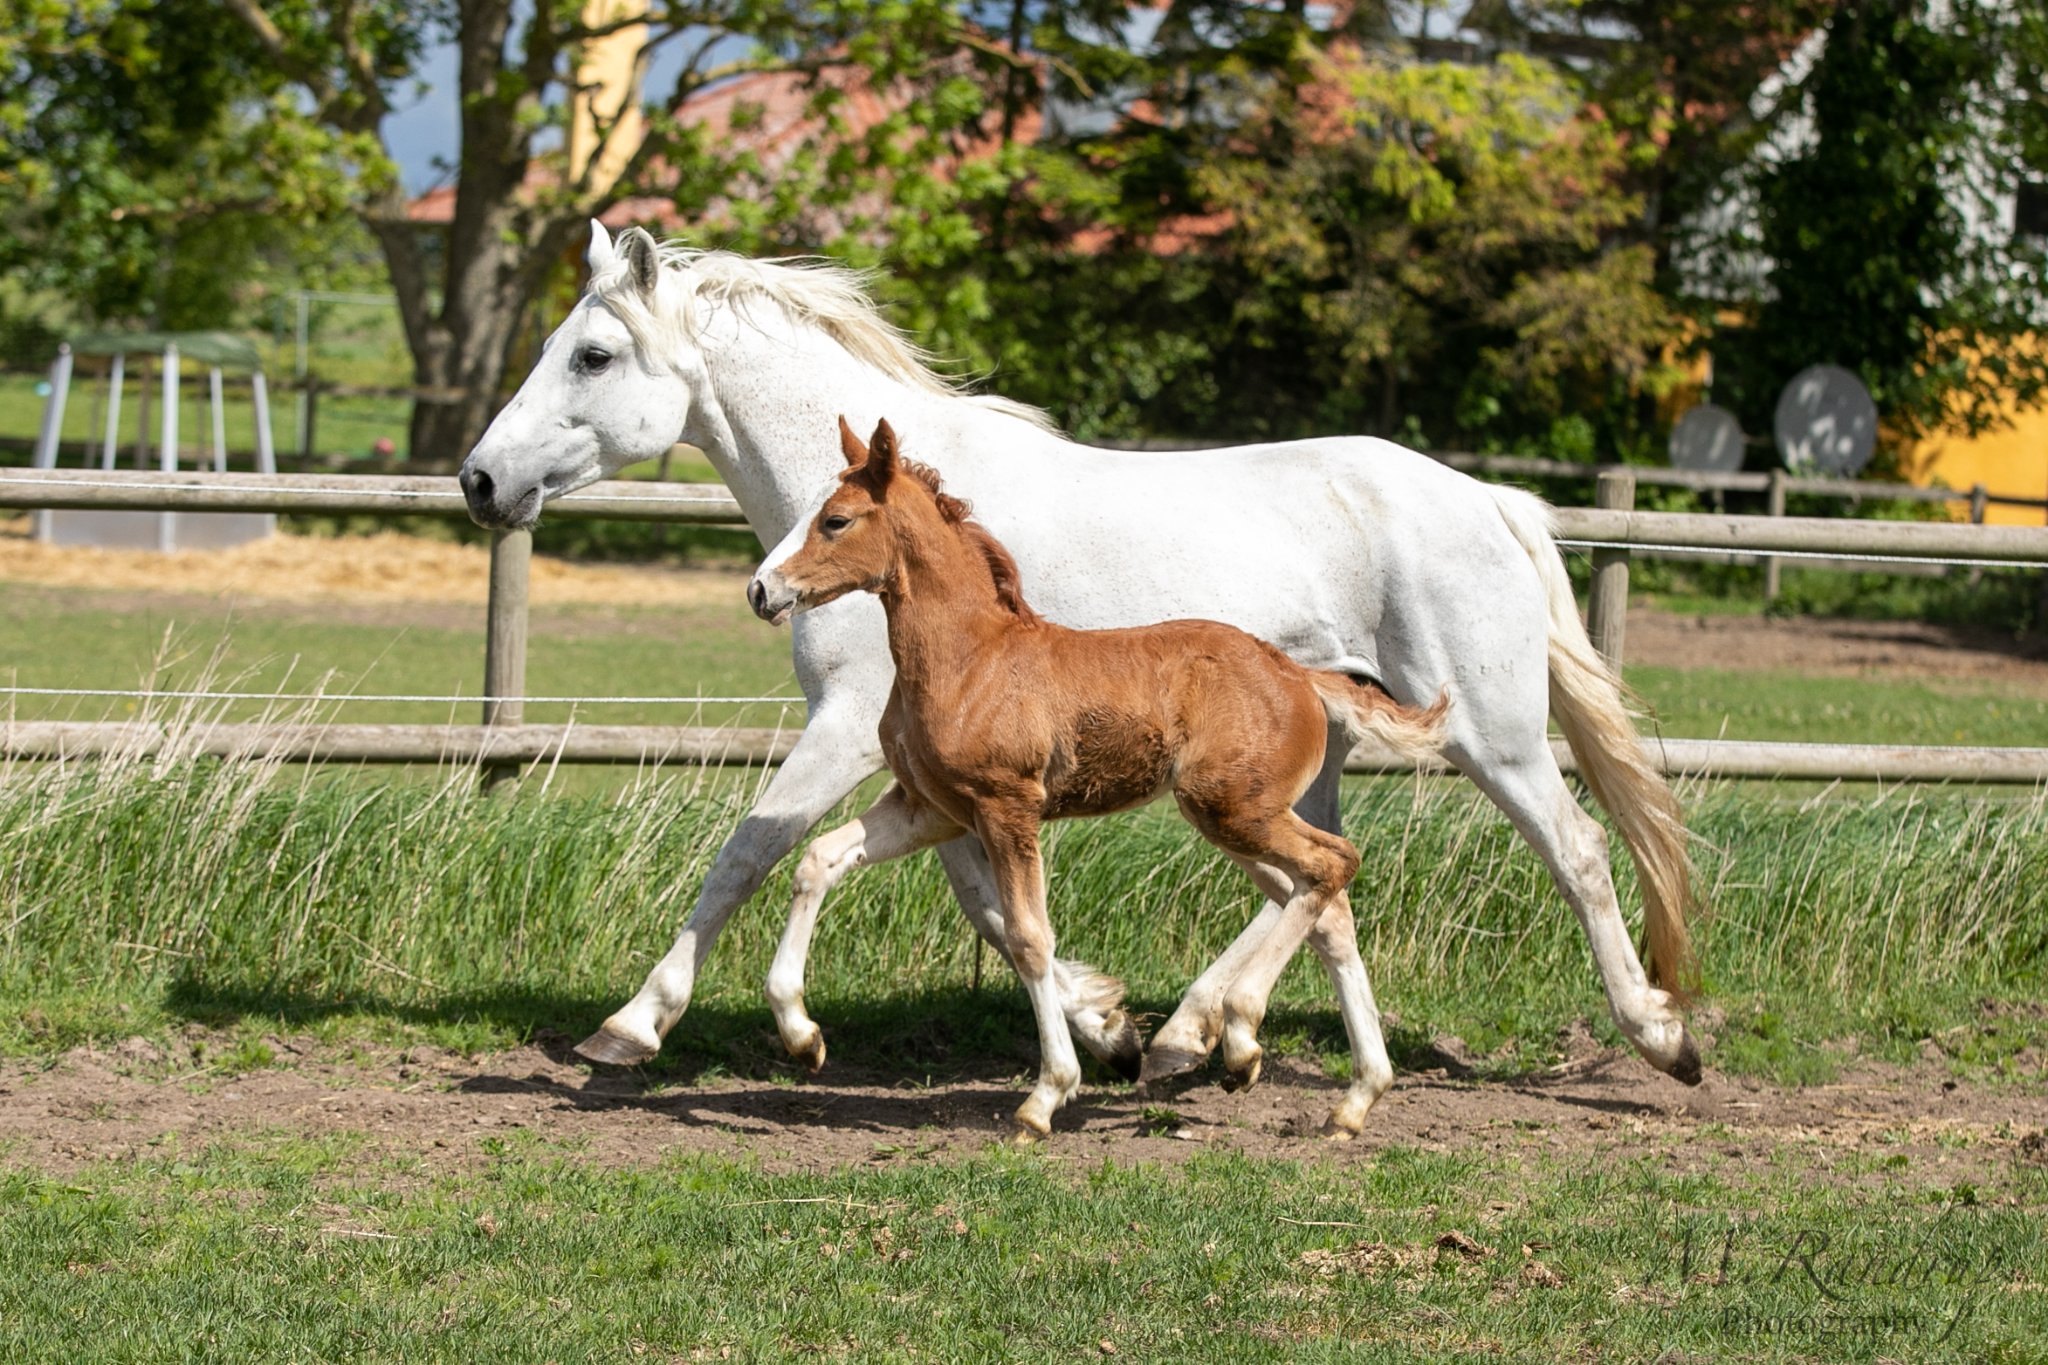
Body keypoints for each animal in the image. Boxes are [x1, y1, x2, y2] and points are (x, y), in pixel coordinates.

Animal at [745, 419, 1449, 1146]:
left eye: (835, 520)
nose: (761, 591)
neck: (969, 658)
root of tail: (1299, 673)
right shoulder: (929, 807)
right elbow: (818, 859)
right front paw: (802, 1036)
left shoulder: (1007, 808)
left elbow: (1029, 938)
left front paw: (1045, 1097)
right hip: (1235, 816)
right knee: (1326, 904)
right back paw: (1352, 1097)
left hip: (1234, 808)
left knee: (1334, 863)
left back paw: (1241, 1036)